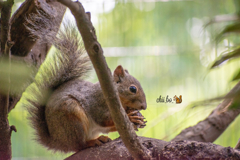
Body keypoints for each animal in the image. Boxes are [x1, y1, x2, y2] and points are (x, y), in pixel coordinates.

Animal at [21, 22, 147, 152]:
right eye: (133, 89)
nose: (144, 106)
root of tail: (58, 142)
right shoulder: (97, 103)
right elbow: (103, 119)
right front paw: (131, 117)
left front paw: (137, 119)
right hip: (71, 115)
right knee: (79, 145)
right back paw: (91, 142)